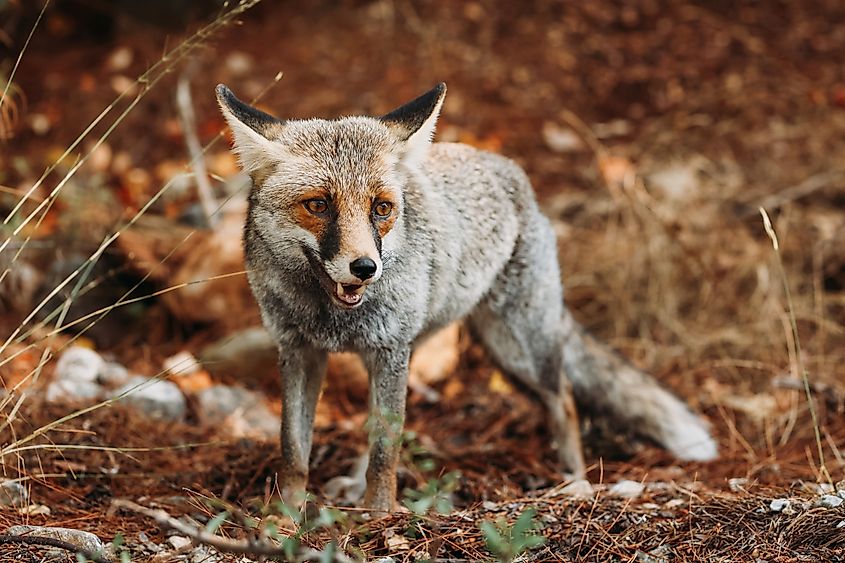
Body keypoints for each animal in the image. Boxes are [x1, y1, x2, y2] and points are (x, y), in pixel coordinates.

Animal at [215, 82, 718, 512]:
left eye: (382, 208)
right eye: (318, 205)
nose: (365, 268)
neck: (329, 317)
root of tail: (504, 165)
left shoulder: (388, 350)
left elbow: (384, 456)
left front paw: (378, 517)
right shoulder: (300, 351)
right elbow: (294, 452)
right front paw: (285, 519)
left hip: (519, 347)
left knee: (566, 399)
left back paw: (576, 482)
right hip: (428, 350)